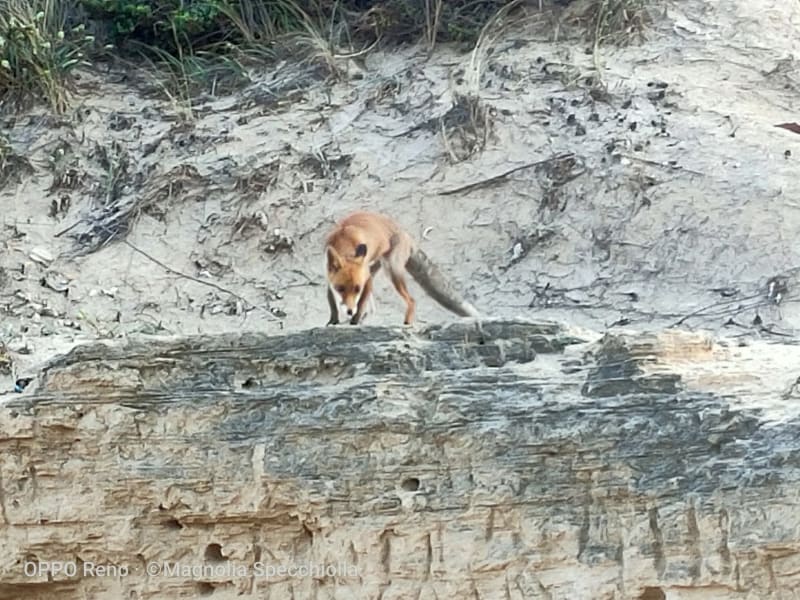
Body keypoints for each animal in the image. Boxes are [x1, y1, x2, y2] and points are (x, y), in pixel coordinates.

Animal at [325, 211, 480, 326]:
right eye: (340, 288)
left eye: (357, 289)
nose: (350, 311)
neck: (345, 239)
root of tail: (405, 233)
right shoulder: (329, 277)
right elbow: (331, 302)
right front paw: (333, 320)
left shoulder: (365, 279)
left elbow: (361, 302)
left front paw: (355, 320)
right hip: (381, 266)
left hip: (392, 270)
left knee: (411, 300)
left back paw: (407, 322)